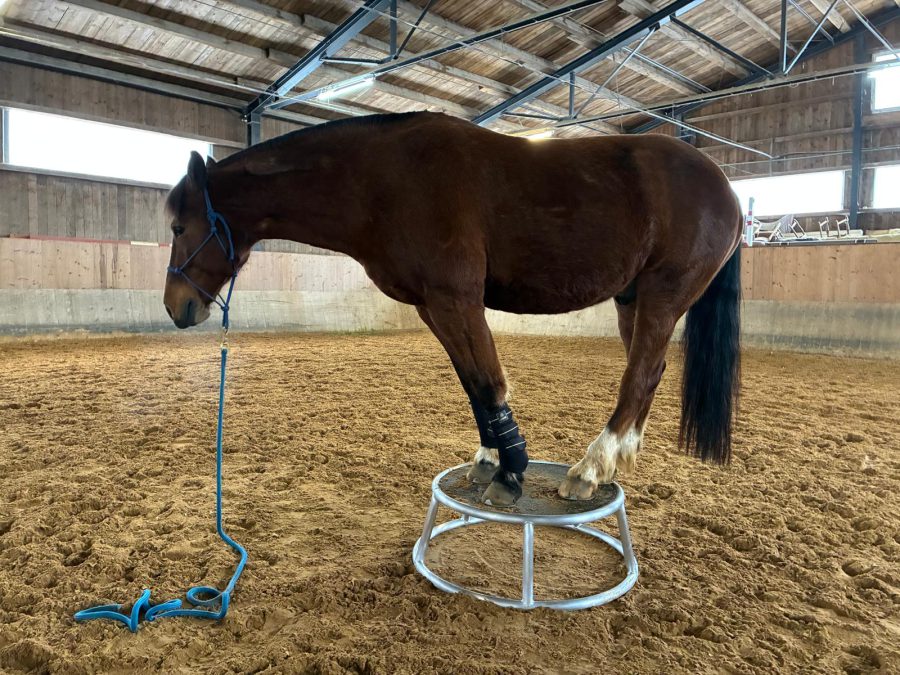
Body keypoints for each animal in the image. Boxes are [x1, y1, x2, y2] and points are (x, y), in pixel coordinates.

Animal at [163, 111, 742, 506]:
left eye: (178, 226)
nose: (176, 306)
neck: (383, 180)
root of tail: (725, 187)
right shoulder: (432, 307)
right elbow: (472, 384)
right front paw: (489, 460)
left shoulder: (456, 299)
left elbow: (489, 382)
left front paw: (511, 471)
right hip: (632, 300)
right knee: (650, 371)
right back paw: (617, 460)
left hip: (663, 296)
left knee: (639, 375)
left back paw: (591, 468)